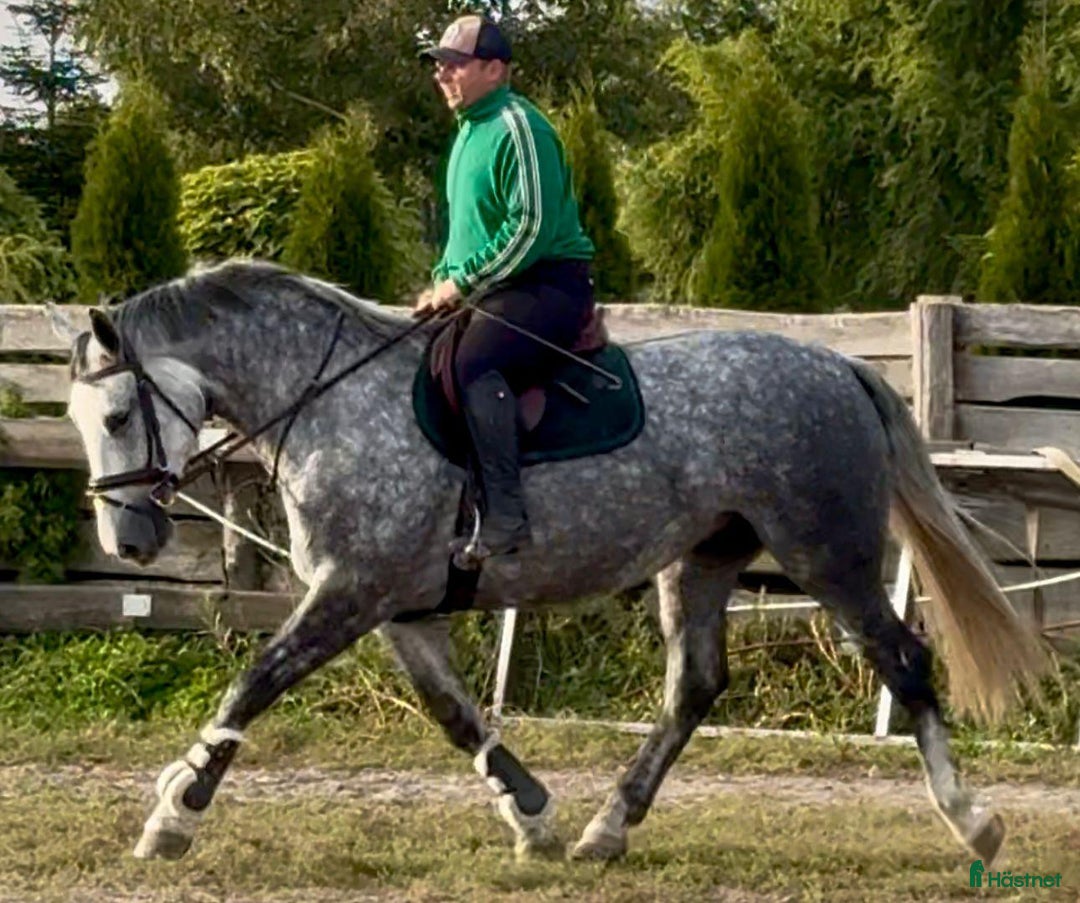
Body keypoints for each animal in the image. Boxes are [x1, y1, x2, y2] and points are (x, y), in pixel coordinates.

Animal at [58, 259, 1048, 865]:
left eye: (116, 416)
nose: (129, 542)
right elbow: (456, 715)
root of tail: (841, 369)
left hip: (827, 553)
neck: (329, 400)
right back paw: (606, 828)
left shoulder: (350, 591)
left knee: (903, 659)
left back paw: (974, 820)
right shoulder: (396, 607)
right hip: (701, 560)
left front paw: (173, 814)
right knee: (693, 686)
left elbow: (252, 685)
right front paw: (532, 813)